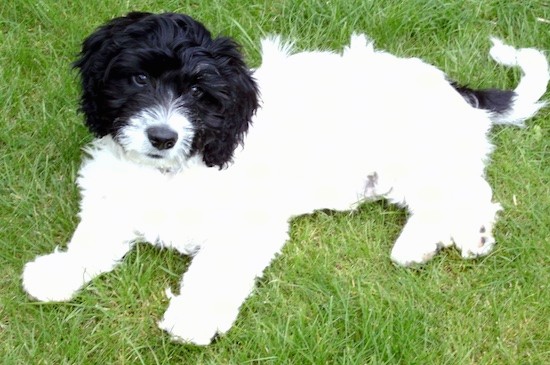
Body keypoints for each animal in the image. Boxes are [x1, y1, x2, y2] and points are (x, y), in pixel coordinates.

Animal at [22, 12, 550, 344]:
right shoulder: (113, 196)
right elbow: (91, 238)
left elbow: (215, 269)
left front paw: (193, 317)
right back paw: (424, 243)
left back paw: (462, 236)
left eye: (197, 92)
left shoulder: (247, 223)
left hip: (413, 152)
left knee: (469, 188)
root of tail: (454, 90)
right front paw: (59, 272)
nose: (162, 136)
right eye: (138, 80)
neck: (176, 169)